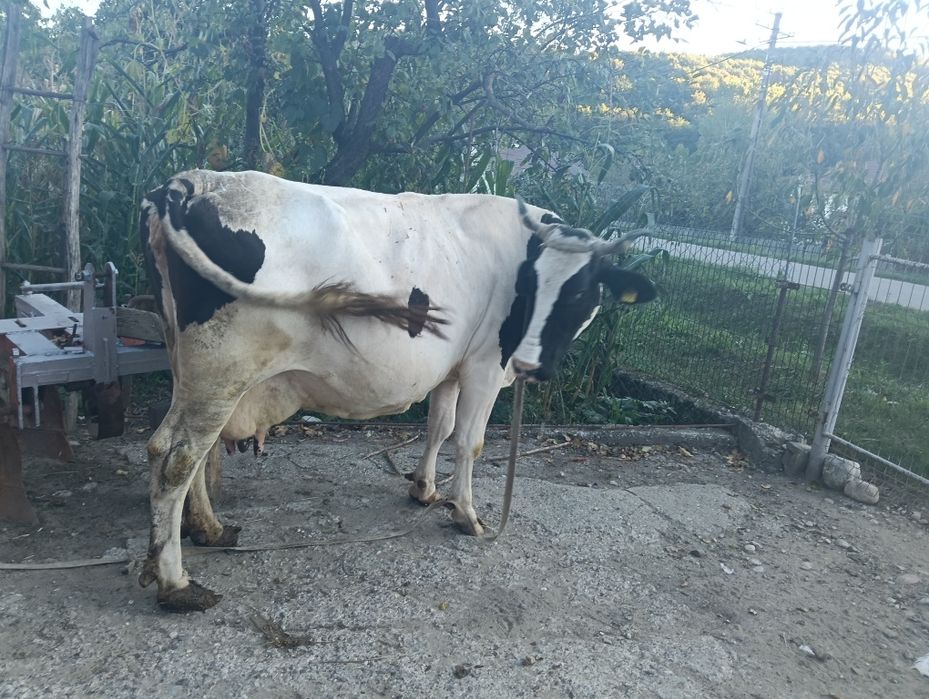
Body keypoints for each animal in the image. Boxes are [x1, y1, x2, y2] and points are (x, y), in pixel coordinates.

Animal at [138, 169, 656, 612]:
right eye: (532, 284)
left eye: (579, 291)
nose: (529, 362)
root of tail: (191, 183)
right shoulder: (485, 367)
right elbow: (469, 441)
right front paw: (466, 514)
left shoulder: (451, 368)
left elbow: (439, 427)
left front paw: (424, 489)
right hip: (222, 371)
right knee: (178, 457)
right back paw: (176, 582)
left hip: (190, 369)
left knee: (186, 454)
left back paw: (209, 530)